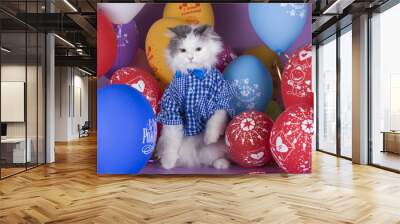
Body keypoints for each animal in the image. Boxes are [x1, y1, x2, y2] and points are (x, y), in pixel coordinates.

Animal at [155, 24, 234, 170]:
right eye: (183, 50)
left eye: (198, 49)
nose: (190, 57)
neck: (194, 76)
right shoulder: (172, 110)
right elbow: (172, 141)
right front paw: (168, 163)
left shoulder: (221, 99)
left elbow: (214, 121)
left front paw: (210, 138)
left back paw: (221, 163)